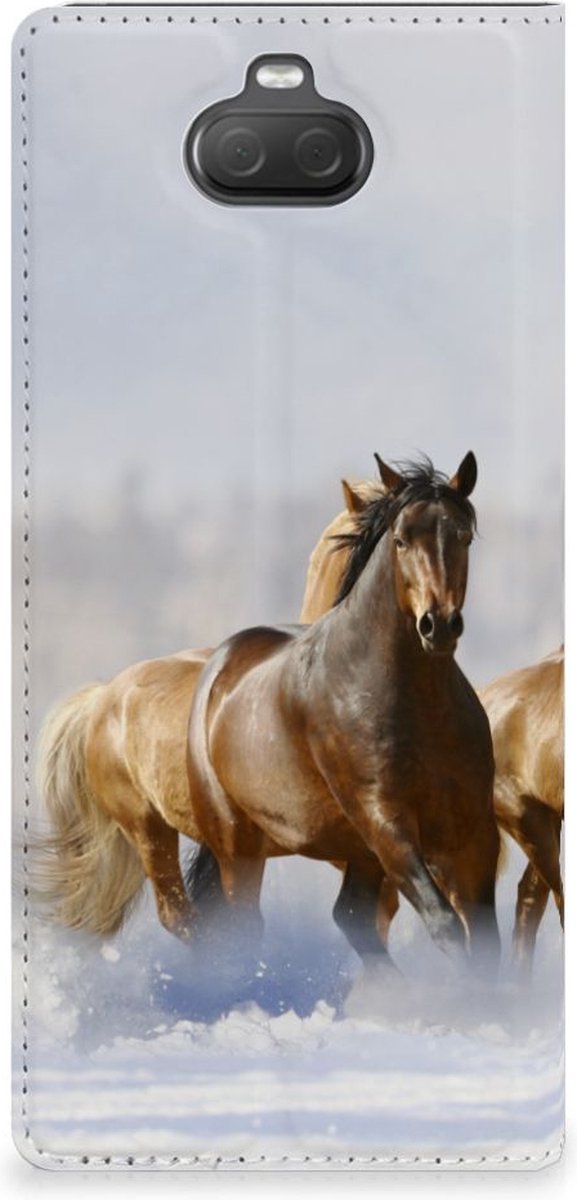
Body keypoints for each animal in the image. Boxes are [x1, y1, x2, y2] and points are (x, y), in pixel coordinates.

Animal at [182, 452, 500, 973]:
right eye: (400, 539)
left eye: (463, 536)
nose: (438, 625)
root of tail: (220, 666)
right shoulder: (386, 822)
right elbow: (446, 924)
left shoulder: (473, 829)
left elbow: (486, 940)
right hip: (238, 846)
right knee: (245, 928)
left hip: (357, 853)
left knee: (352, 914)